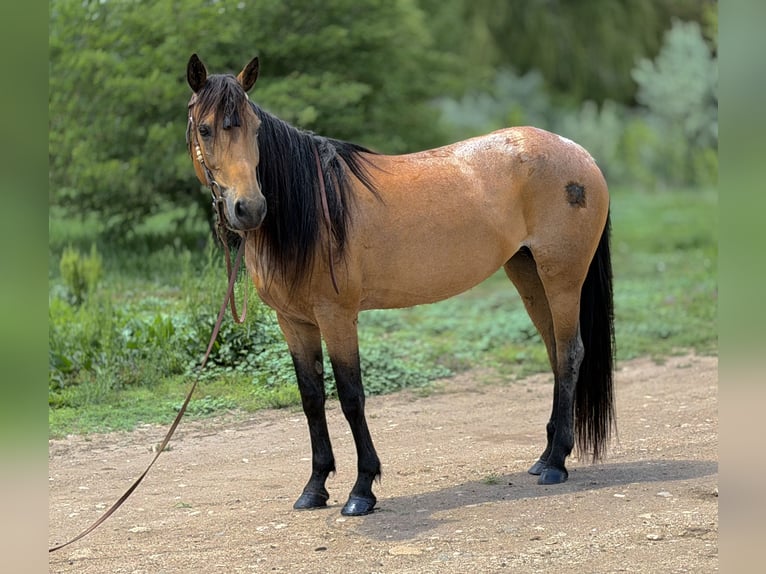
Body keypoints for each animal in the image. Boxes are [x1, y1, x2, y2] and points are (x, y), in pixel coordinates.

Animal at [185, 54, 615, 517]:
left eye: (255, 129)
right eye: (205, 128)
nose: (249, 208)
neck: (315, 207)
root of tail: (581, 154)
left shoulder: (337, 317)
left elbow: (351, 396)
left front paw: (362, 490)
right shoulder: (294, 322)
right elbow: (311, 398)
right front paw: (315, 487)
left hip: (562, 278)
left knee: (569, 355)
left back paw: (556, 464)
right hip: (528, 275)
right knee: (555, 353)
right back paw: (544, 456)